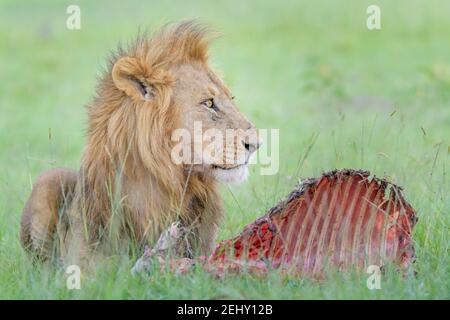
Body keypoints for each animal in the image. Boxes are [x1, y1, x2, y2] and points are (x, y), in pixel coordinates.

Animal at [20, 22, 260, 266]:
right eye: (209, 103)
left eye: (231, 98)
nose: (257, 143)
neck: (168, 183)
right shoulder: (82, 260)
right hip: (49, 179)